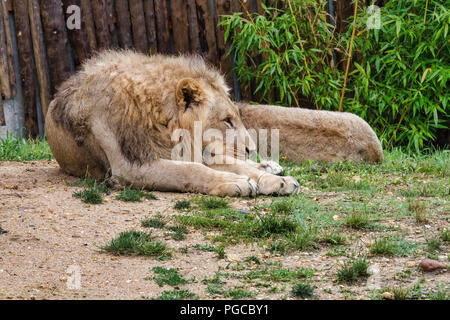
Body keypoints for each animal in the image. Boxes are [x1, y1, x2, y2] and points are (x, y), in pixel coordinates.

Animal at [45, 51, 300, 196]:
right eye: (227, 121)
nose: (251, 149)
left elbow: (239, 167)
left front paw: (280, 182)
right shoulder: (130, 167)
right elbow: (191, 171)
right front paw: (237, 183)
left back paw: (271, 168)